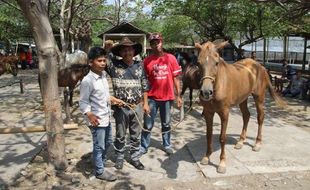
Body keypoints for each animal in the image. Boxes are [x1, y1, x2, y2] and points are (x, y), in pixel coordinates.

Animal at [196, 41, 286, 174]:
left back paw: (257, 144)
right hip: (243, 99)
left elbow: (222, 138)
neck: (218, 85)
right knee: (246, 115)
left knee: (260, 117)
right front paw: (206, 157)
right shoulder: (208, 113)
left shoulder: (224, 113)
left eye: (216, 63)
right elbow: (209, 135)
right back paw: (240, 141)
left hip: (259, 98)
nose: (206, 92)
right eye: (198, 63)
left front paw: (222, 163)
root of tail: (260, 66)